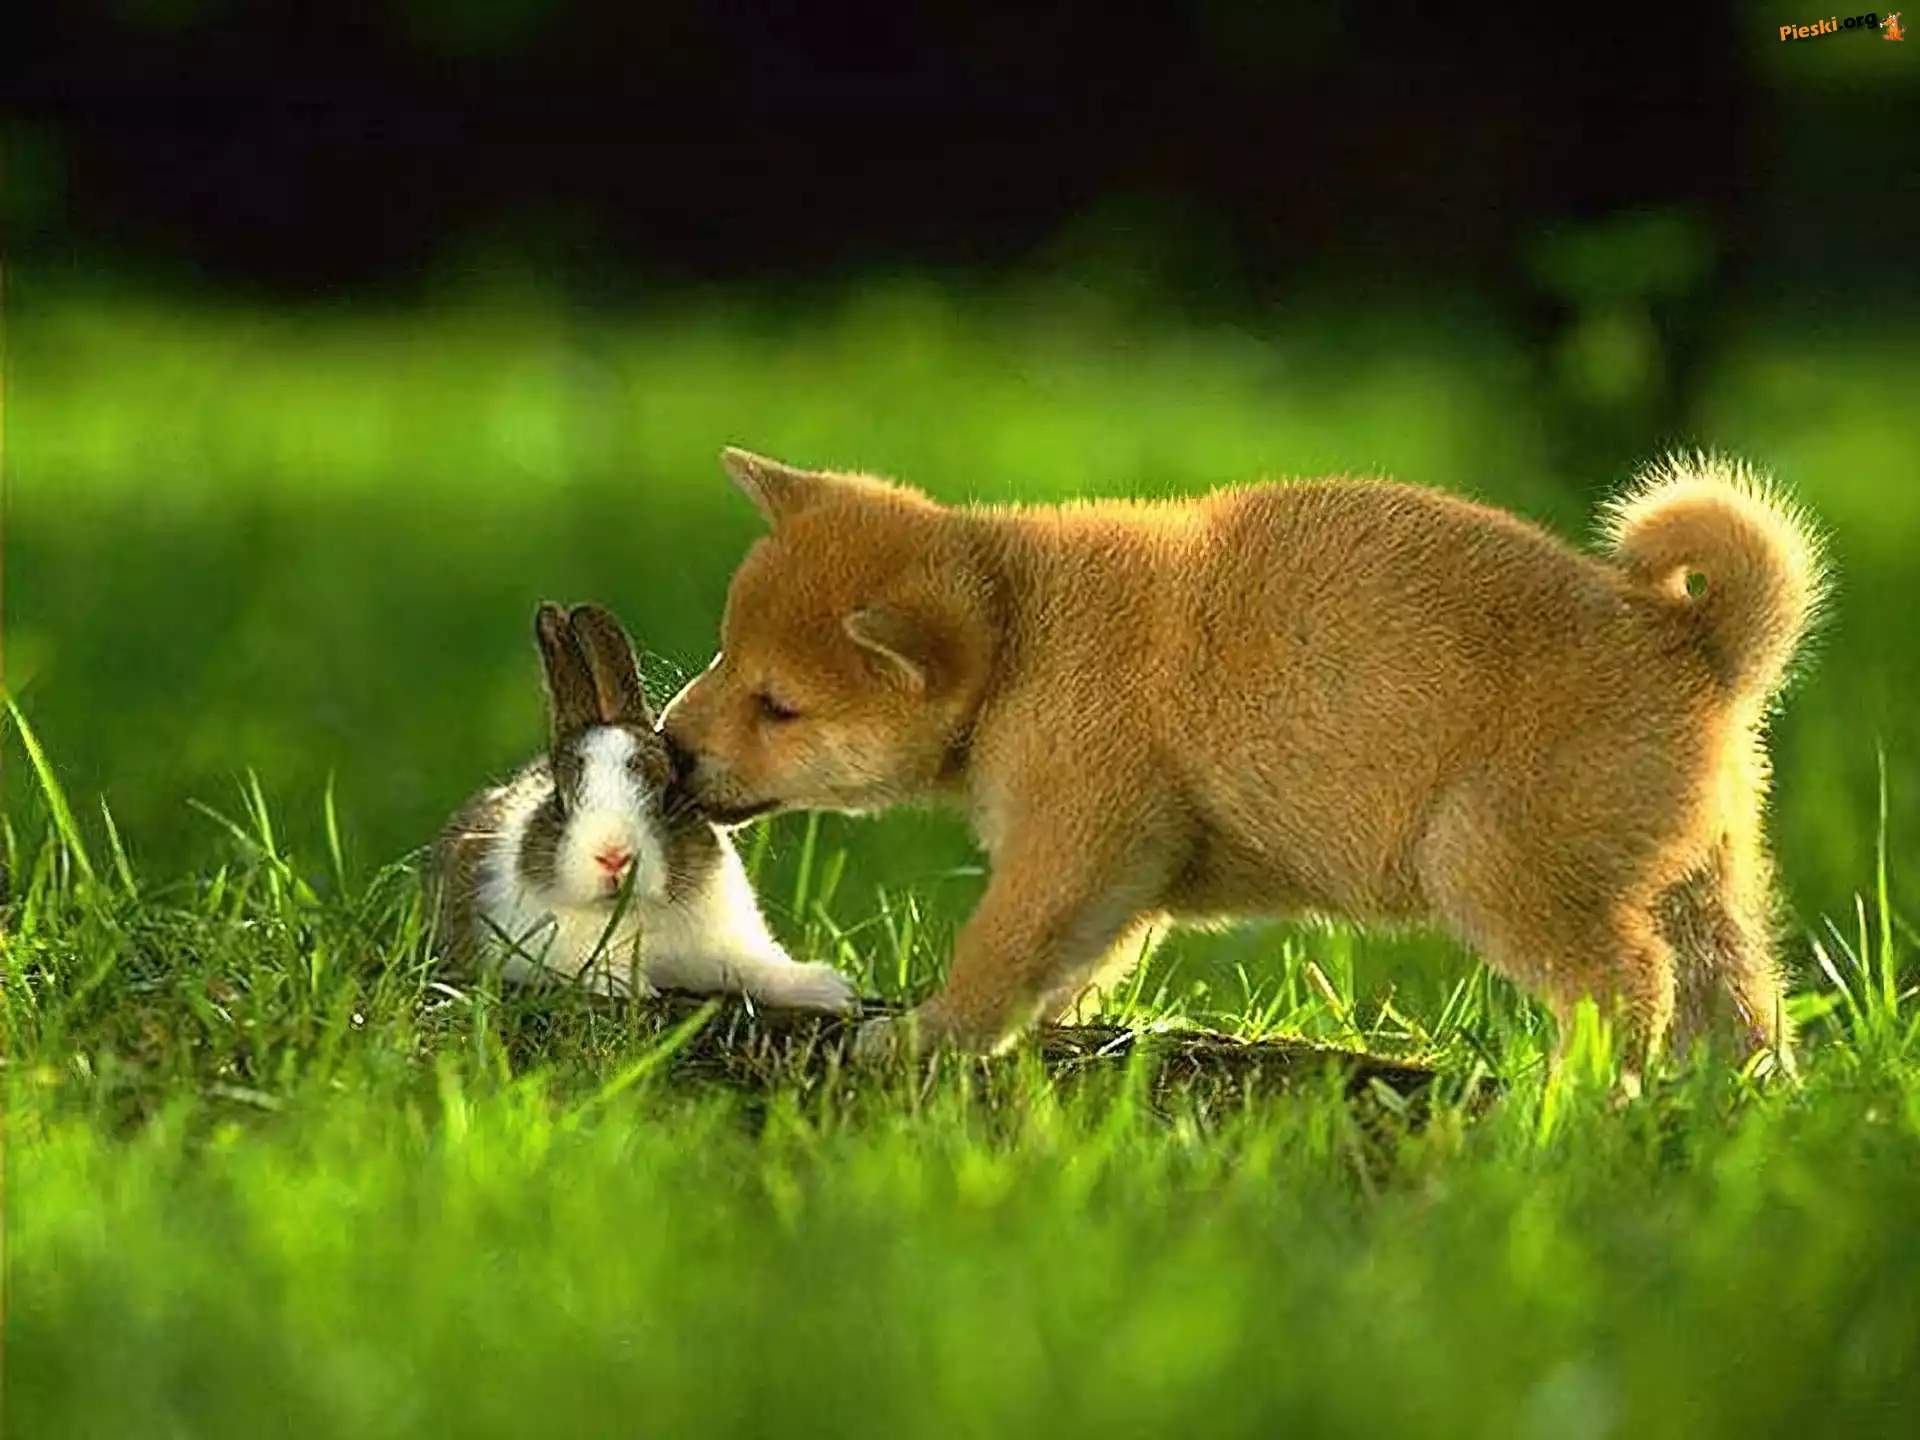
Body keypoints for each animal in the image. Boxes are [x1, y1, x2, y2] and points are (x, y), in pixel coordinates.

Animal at [429, 601, 861, 1013]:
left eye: (668, 793)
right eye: (561, 801)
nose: (613, 857)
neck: (633, 917)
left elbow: (756, 968)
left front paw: (829, 990)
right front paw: (625, 984)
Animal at [661, 447, 1826, 1085]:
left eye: (779, 704)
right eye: (723, 651)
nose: (670, 747)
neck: (1022, 635)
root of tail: (1697, 646)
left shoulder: (1073, 838)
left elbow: (998, 952)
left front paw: (922, 1040)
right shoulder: (1122, 871)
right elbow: (1068, 966)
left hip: (1495, 864)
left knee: (1627, 984)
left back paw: (1574, 1096)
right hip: (1708, 888)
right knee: (1738, 1000)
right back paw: (1745, 1105)